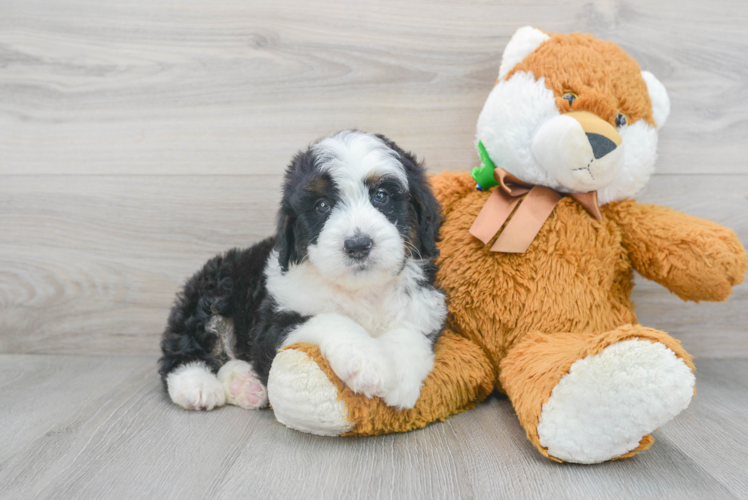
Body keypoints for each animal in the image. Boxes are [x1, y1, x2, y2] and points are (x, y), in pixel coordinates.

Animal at [159, 131, 448, 412]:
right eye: (322, 206)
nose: (357, 245)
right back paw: (196, 385)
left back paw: (245, 385)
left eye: (381, 196)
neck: (361, 290)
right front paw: (366, 360)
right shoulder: (272, 325)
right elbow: (327, 319)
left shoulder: (422, 306)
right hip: (213, 288)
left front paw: (399, 377)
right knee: (181, 348)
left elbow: (410, 334)